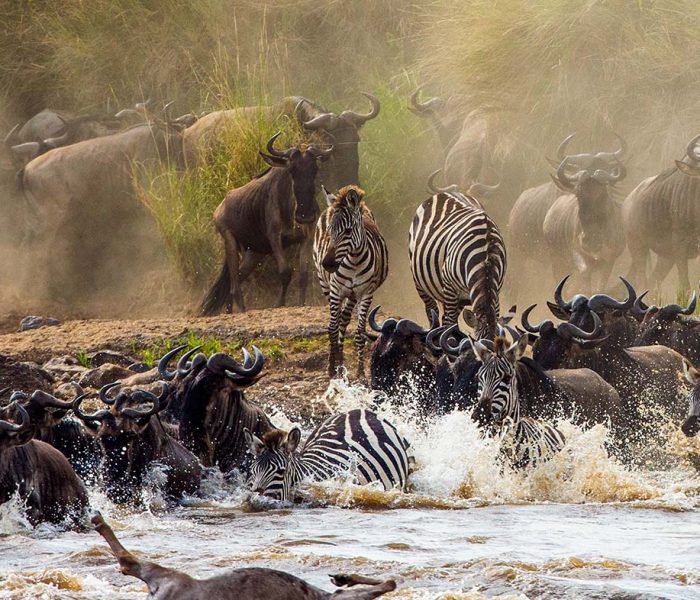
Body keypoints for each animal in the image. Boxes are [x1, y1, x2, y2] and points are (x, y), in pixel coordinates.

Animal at [316, 185, 392, 378]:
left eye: (348, 231)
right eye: (329, 230)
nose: (327, 264)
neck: (354, 261)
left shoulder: (366, 293)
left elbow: (359, 332)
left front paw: (360, 373)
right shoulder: (336, 291)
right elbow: (332, 328)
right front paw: (331, 369)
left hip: (351, 295)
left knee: (344, 320)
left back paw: (341, 363)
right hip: (326, 286)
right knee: (336, 323)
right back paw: (336, 364)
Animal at [408, 170, 506, 338]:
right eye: (477, 340)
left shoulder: (496, 291)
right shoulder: (449, 286)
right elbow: (450, 323)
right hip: (419, 280)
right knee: (432, 310)